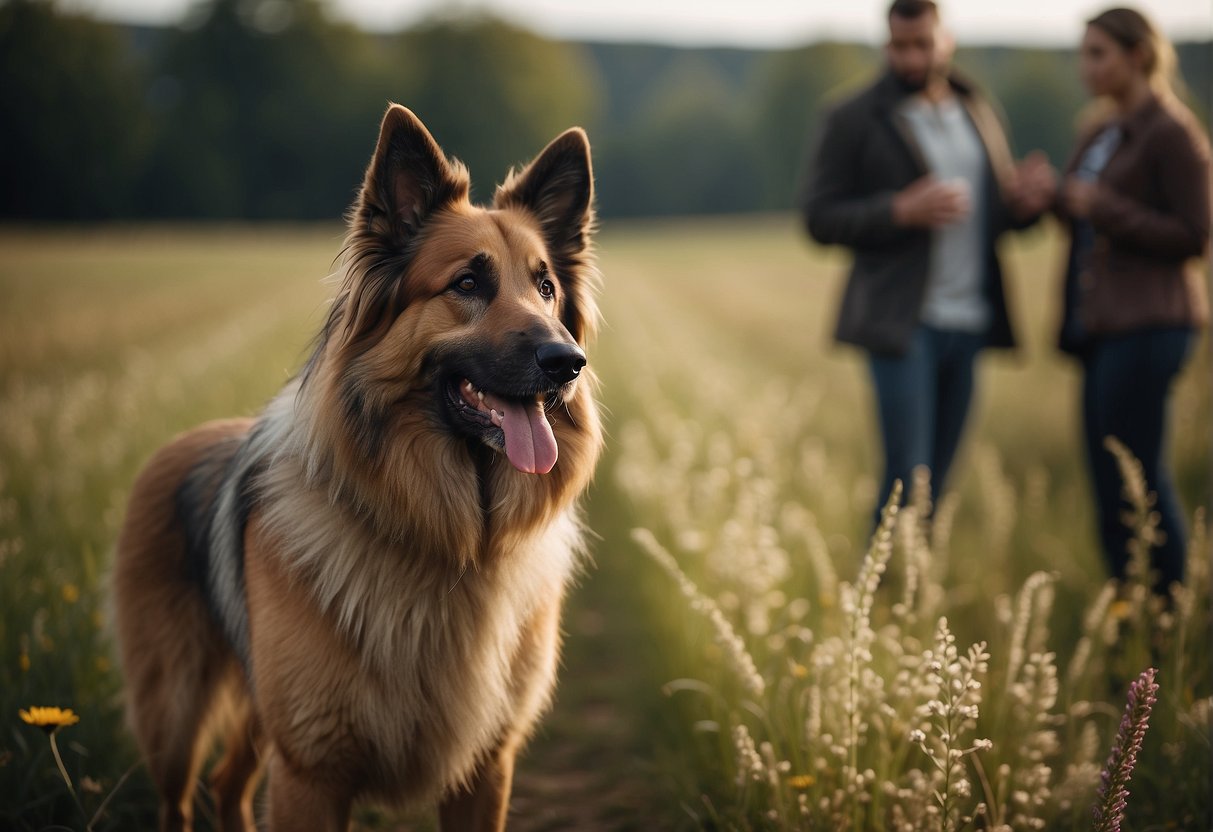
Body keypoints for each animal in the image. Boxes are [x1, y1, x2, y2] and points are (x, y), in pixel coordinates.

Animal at [111, 106, 604, 832]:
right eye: (467, 284)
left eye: (546, 288)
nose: (567, 362)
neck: (449, 541)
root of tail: (183, 440)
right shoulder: (311, 772)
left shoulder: (486, 769)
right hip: (176, 718)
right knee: (179, 798)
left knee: (228, 784)